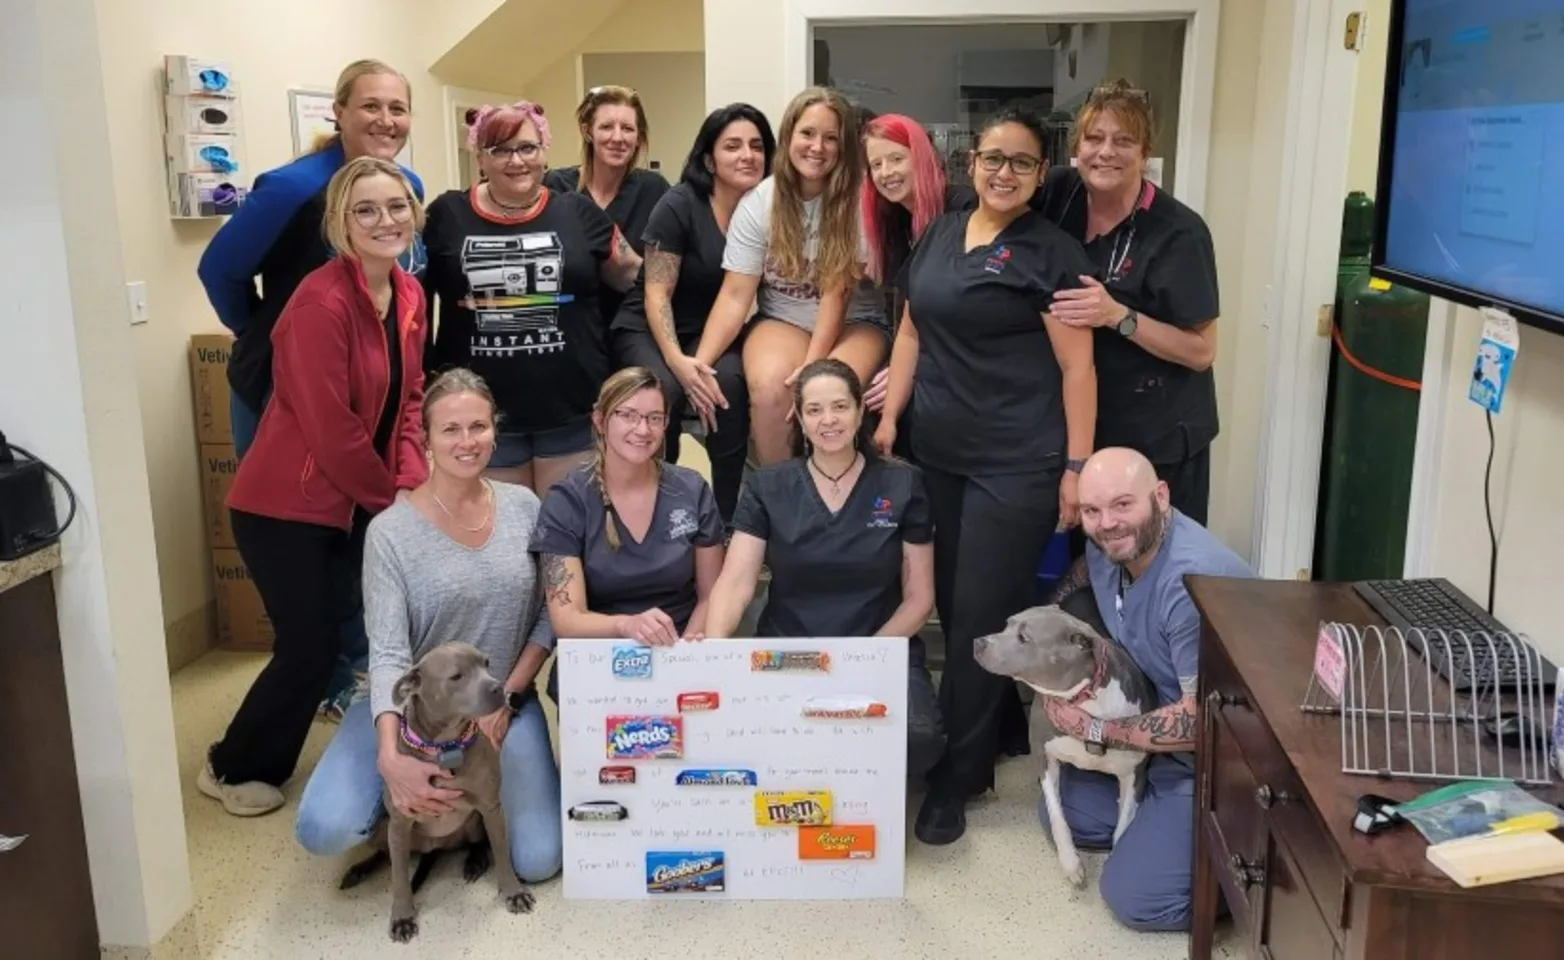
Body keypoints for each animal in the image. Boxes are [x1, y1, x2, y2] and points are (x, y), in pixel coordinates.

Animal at [339, 644, 534, 944]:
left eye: (486, 663)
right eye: (456, 676)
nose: (498, 687)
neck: (446, 746)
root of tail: (435, 847)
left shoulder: (491, 808)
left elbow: (502, 852)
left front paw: (513, 892)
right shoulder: (400, 822)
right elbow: (399, 877)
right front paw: (403, 916)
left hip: (474, 821)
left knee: (478, 842)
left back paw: (475, 861)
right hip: (384, 829)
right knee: (386, 855)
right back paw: (360, 869)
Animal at [969, 606, 1157, 894]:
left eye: (1023, 637)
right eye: (1006, 624)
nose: (978, 642)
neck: (1084, 705)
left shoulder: (1135, 775)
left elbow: (1124, 825)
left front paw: (1114, 859)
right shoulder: (1044, 755)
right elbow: (1057, 815)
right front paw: (1071, 863)